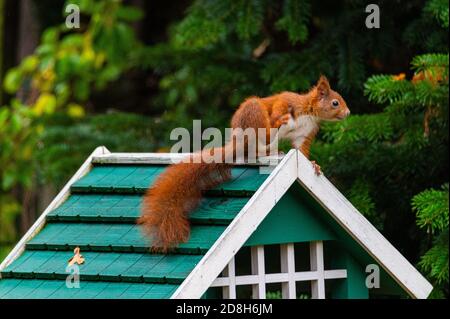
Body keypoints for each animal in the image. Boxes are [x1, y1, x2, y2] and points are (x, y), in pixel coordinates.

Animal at [139, 77, 350, 252]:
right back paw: (275, 128)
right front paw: (281, 117)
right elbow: (281, 103)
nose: (348, 113)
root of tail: (237, 142)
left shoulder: (303, 134)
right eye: (335, 102)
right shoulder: (289, 101)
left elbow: (301, 153)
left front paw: (314, 164)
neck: (310, 113)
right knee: (263, 135)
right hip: (254, 112)